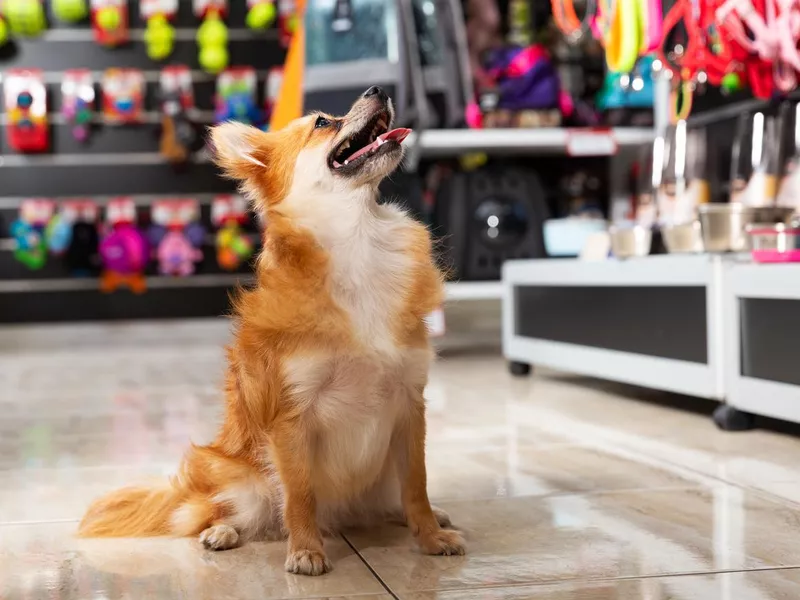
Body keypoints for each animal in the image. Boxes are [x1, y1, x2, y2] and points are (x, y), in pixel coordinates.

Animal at [78, 86, 466, 576]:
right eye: (322, 122)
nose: (378, 89)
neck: (360, 240)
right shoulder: (291, 416)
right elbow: (299, 494)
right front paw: (306, 550)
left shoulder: (409, 406)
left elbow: (417, 485)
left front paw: (430, 537)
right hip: (241, 475)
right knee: (228, 510)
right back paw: (222, 531)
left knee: (392, 500)